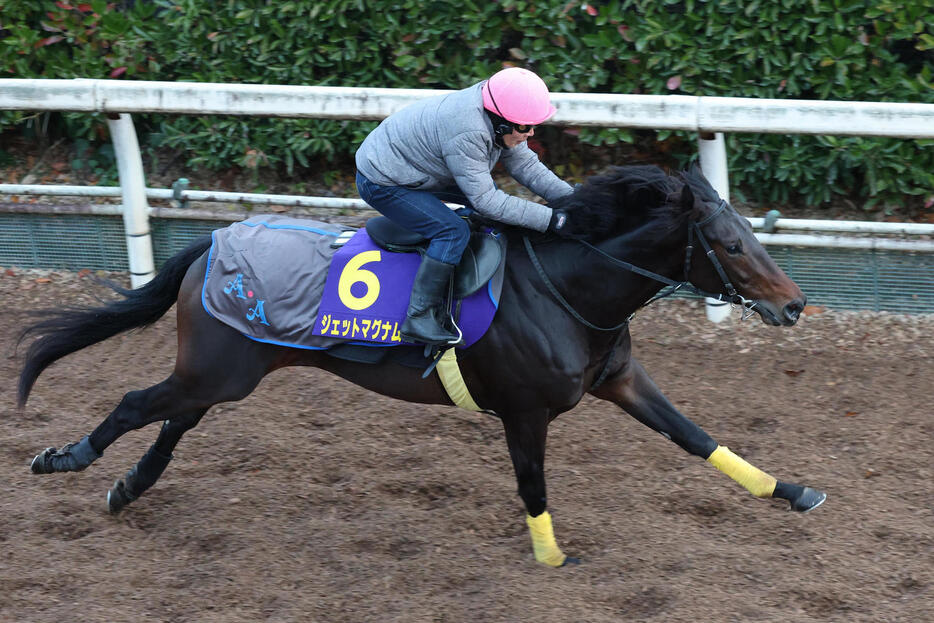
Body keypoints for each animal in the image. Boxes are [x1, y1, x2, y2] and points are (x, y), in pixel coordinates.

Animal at [16, 163, 828, 568]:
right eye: (729, 243)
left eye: (749, 232)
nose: (794, 305)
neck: (569, 287)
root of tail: (213, 244)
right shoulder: (525, 411)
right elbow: (533, 483)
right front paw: (551, 558)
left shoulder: (619, 380)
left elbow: (695, 436)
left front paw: (793, 490)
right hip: (219, 369)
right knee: (134, 401)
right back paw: (65, 459)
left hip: (226, 373)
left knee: (173, 420)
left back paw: (126, 487)